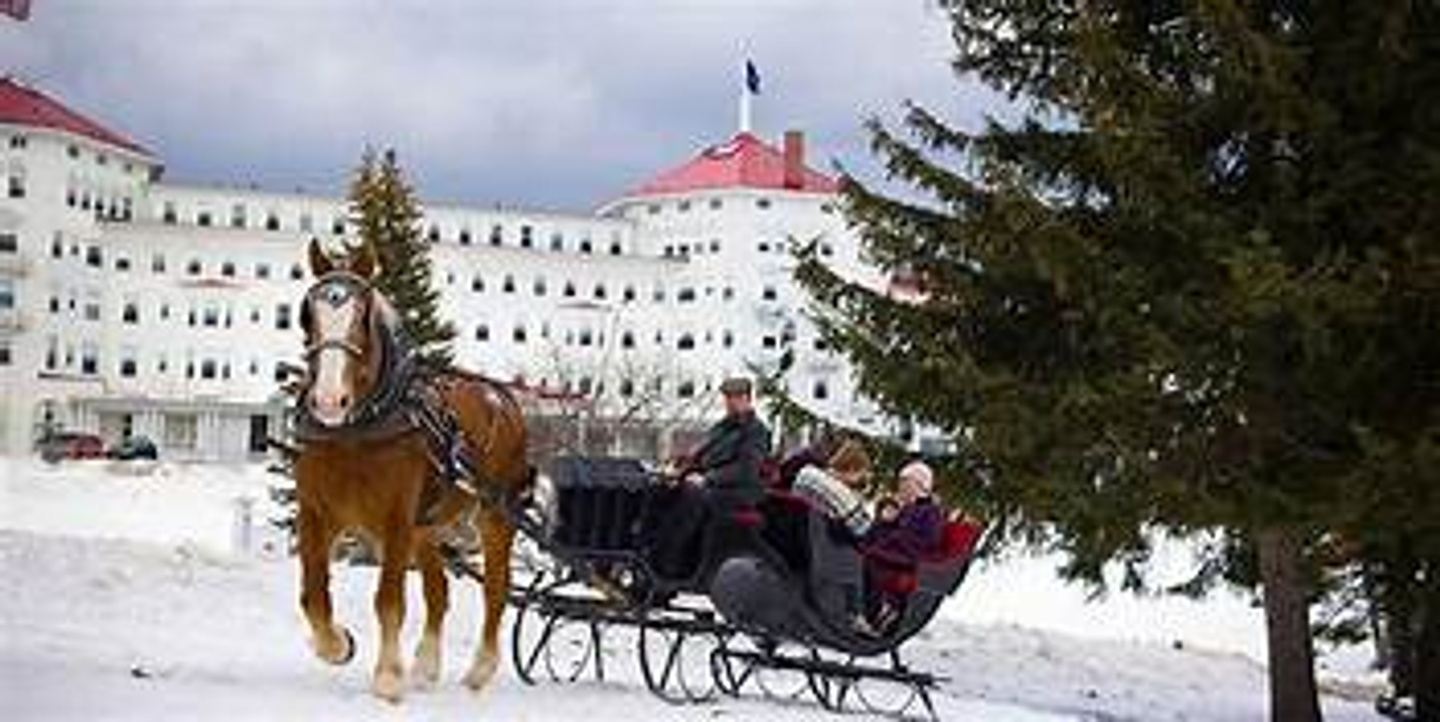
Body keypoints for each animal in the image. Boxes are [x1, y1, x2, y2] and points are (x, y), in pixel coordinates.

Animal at [289, 239, 527, 700]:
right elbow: (313, 597)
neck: (357, 430)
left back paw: (480, 670)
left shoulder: (396, 519)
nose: (328, 401)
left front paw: (387, 676)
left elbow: (389, 600)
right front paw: (338, 644)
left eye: (362, 316)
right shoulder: (316, 513)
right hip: (426, 527)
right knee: (439, 591)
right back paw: (426, 667)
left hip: (495, 514)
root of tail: (502, 398)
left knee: (495, 589)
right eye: (308, 315)